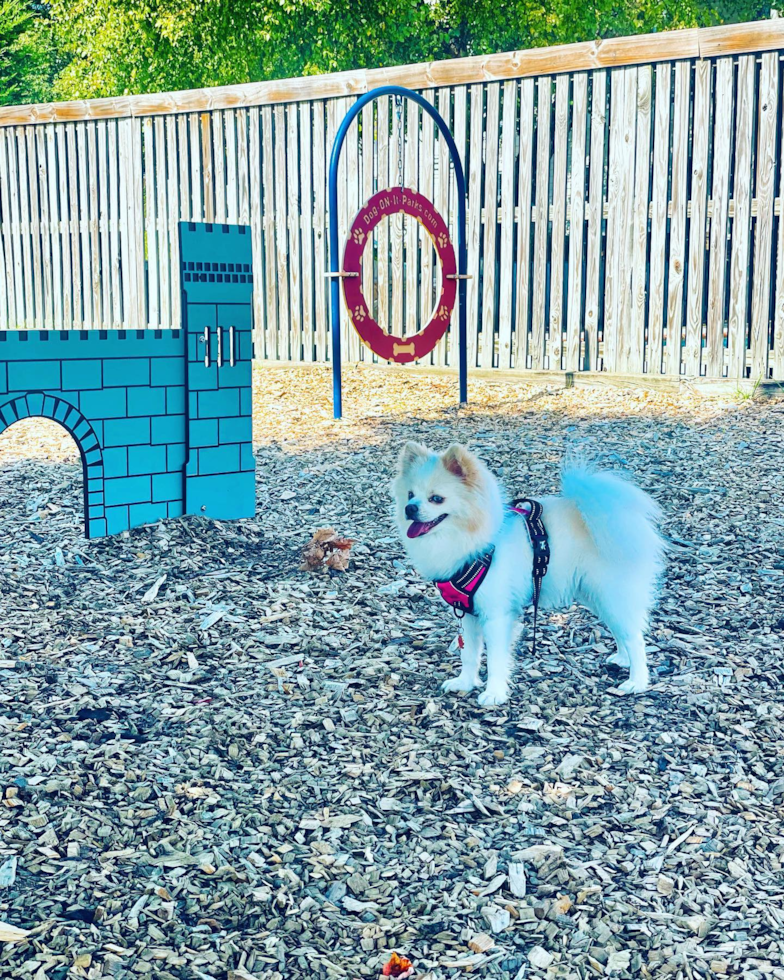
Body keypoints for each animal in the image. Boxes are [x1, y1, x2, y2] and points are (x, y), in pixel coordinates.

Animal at [392, 442, 668, 704]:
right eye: (410, 494)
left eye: (436, 498)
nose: (410, 508)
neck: (476, 542)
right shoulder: (468, 614)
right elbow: (469, 654)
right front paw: (465, 683)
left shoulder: (497, 615)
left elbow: (495, 659)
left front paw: (494, 694)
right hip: (596, 595)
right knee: (621, 630)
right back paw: (622, 659)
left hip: (611, 592)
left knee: (635, 637)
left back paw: (637, 681)